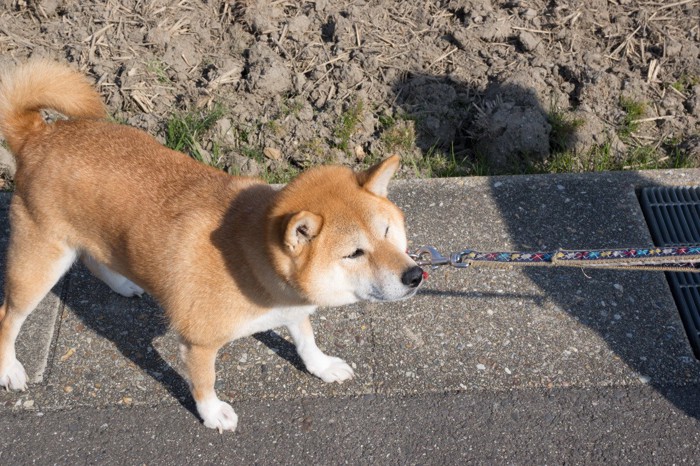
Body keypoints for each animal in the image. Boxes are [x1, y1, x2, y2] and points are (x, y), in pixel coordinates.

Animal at [0, 60, 422, 432]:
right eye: (355, 253)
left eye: (387, 233)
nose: (416, 274)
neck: (251, 263)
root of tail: (38, 134)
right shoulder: (199, 343)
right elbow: (204, 383)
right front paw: (212, 413)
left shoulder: (293, 307)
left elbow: (306, 340)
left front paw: (321, 365)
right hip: (38, 267)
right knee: (8, 316)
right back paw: (9, 368)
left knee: (93, 260)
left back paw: (123, 283)